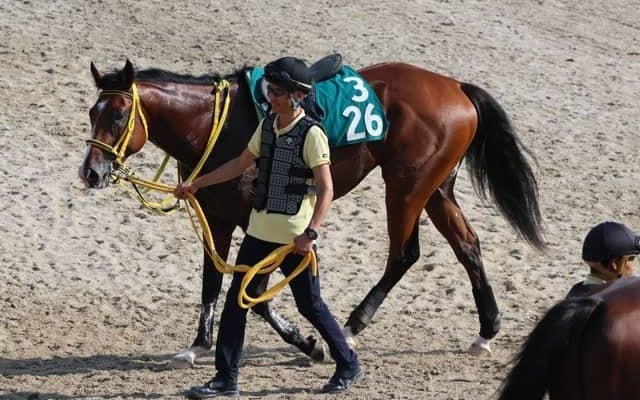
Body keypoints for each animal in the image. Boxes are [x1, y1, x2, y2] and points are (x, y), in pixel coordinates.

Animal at [79, 57, 545, 367]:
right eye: (91, 112)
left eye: (119, 115)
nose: (91, 171)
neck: (217, 124)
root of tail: (456, 87)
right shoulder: (217, 219)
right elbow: (212, 281)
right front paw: (197, 345)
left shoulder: (265, 224)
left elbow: (255, 292)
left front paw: (309, 342)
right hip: (435, 190)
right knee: (467, 245)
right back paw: (486, 330)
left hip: (406, 189)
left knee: (404, 254)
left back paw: (353, 327)